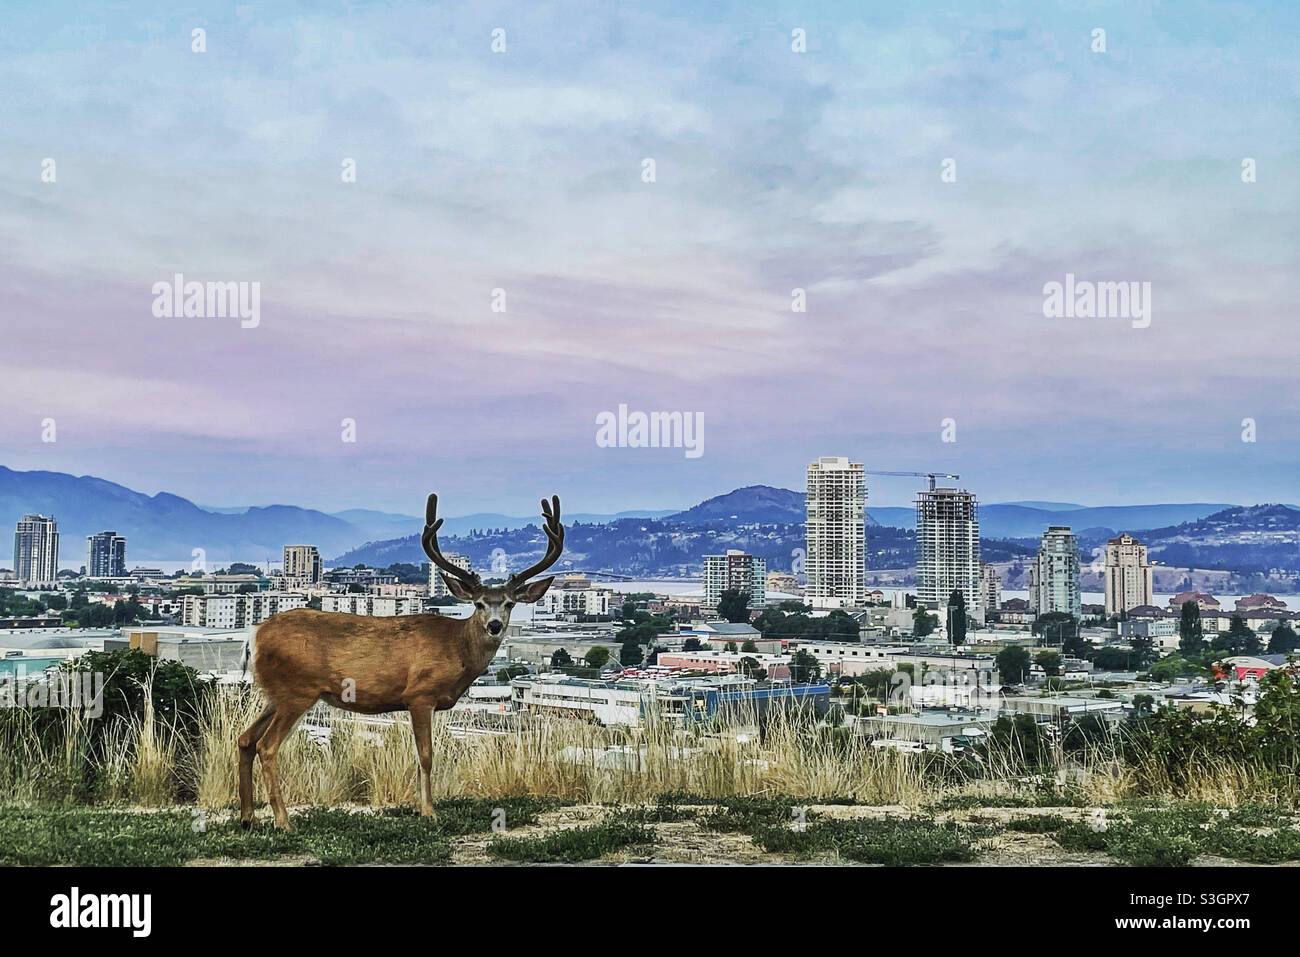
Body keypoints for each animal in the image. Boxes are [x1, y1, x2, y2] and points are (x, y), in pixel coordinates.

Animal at [238, 493, 564, 830]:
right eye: (478, 604)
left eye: (510, 603)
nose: (495, 626)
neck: (456, 647)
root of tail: (254, 636)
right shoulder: (419, 695)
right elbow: (426, 755)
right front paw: (429, 810)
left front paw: (422, 807)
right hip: (296, 691)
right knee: (266, 746)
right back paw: (282, 820)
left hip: (275, 695)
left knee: (245, 739)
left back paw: (249, 817)